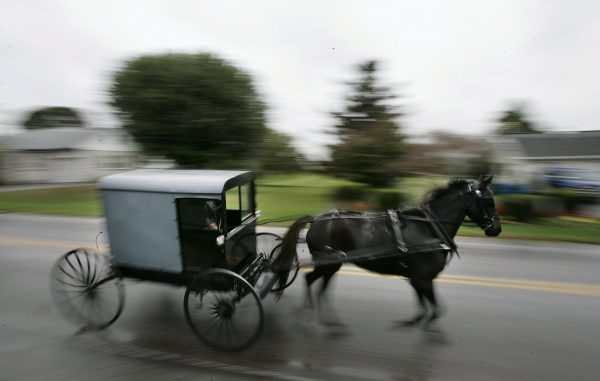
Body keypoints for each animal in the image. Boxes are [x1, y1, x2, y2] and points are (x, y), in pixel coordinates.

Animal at [276, 174, 502, 328]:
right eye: (489, 200)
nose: (497, 229)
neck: (429, 228)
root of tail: (316, 220)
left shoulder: (418, 279)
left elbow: (426, 307)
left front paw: (414, 323)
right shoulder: (422, 278)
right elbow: (433, 309)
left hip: (331, 265)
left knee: (316, 285)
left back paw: (320, 316)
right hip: (330, 263)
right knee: (314, 283)